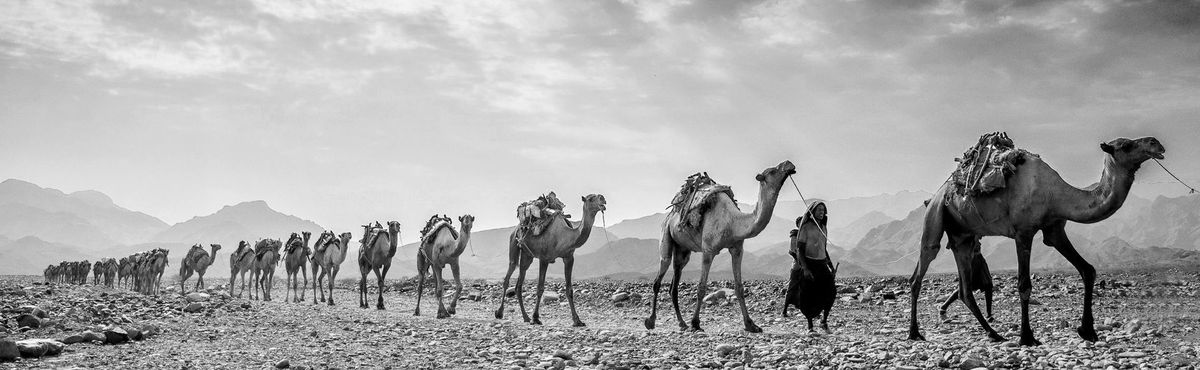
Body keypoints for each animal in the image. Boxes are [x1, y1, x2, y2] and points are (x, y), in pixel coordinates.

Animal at [494, 193, 609, 326]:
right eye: (590, 199)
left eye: (599, 197)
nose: (603, 199)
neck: (564, 236)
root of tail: (518, 227)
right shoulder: (544, 258)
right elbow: (540, 288)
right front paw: (536, 318)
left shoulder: (569, 258)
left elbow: (569, 290)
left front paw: (577, 320)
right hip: (514, 241)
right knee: (509, 273)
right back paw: (500, 313)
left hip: (527, 256)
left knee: (519, 283)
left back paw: (525, 317)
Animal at [643, 160, 792, 333]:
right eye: (773, 171)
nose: (789, 164)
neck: (733, 222)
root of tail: (670, 215)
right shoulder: (708, 250)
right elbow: (701, 288)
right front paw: (696, 323)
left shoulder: (737, 249)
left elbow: (739, 288)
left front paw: (751, 324)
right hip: (665, 234)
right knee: (659, 275)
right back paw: (651, 321)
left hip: (682, 250)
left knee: (674, 282)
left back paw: (682, 323)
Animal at [907, 136, 1161, 345]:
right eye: (1126, 145)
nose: (1156, 143)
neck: (1055, 195)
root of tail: (940, 192)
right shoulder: (1024, 232)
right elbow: (1024, 285)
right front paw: (1027, 337)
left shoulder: (1054, 230)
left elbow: (1087, 270)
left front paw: (1087, 330)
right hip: (936, 215)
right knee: (921, 267)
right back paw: (914, 333)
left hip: (964, 236)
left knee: (964, 289)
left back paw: (993, 333)